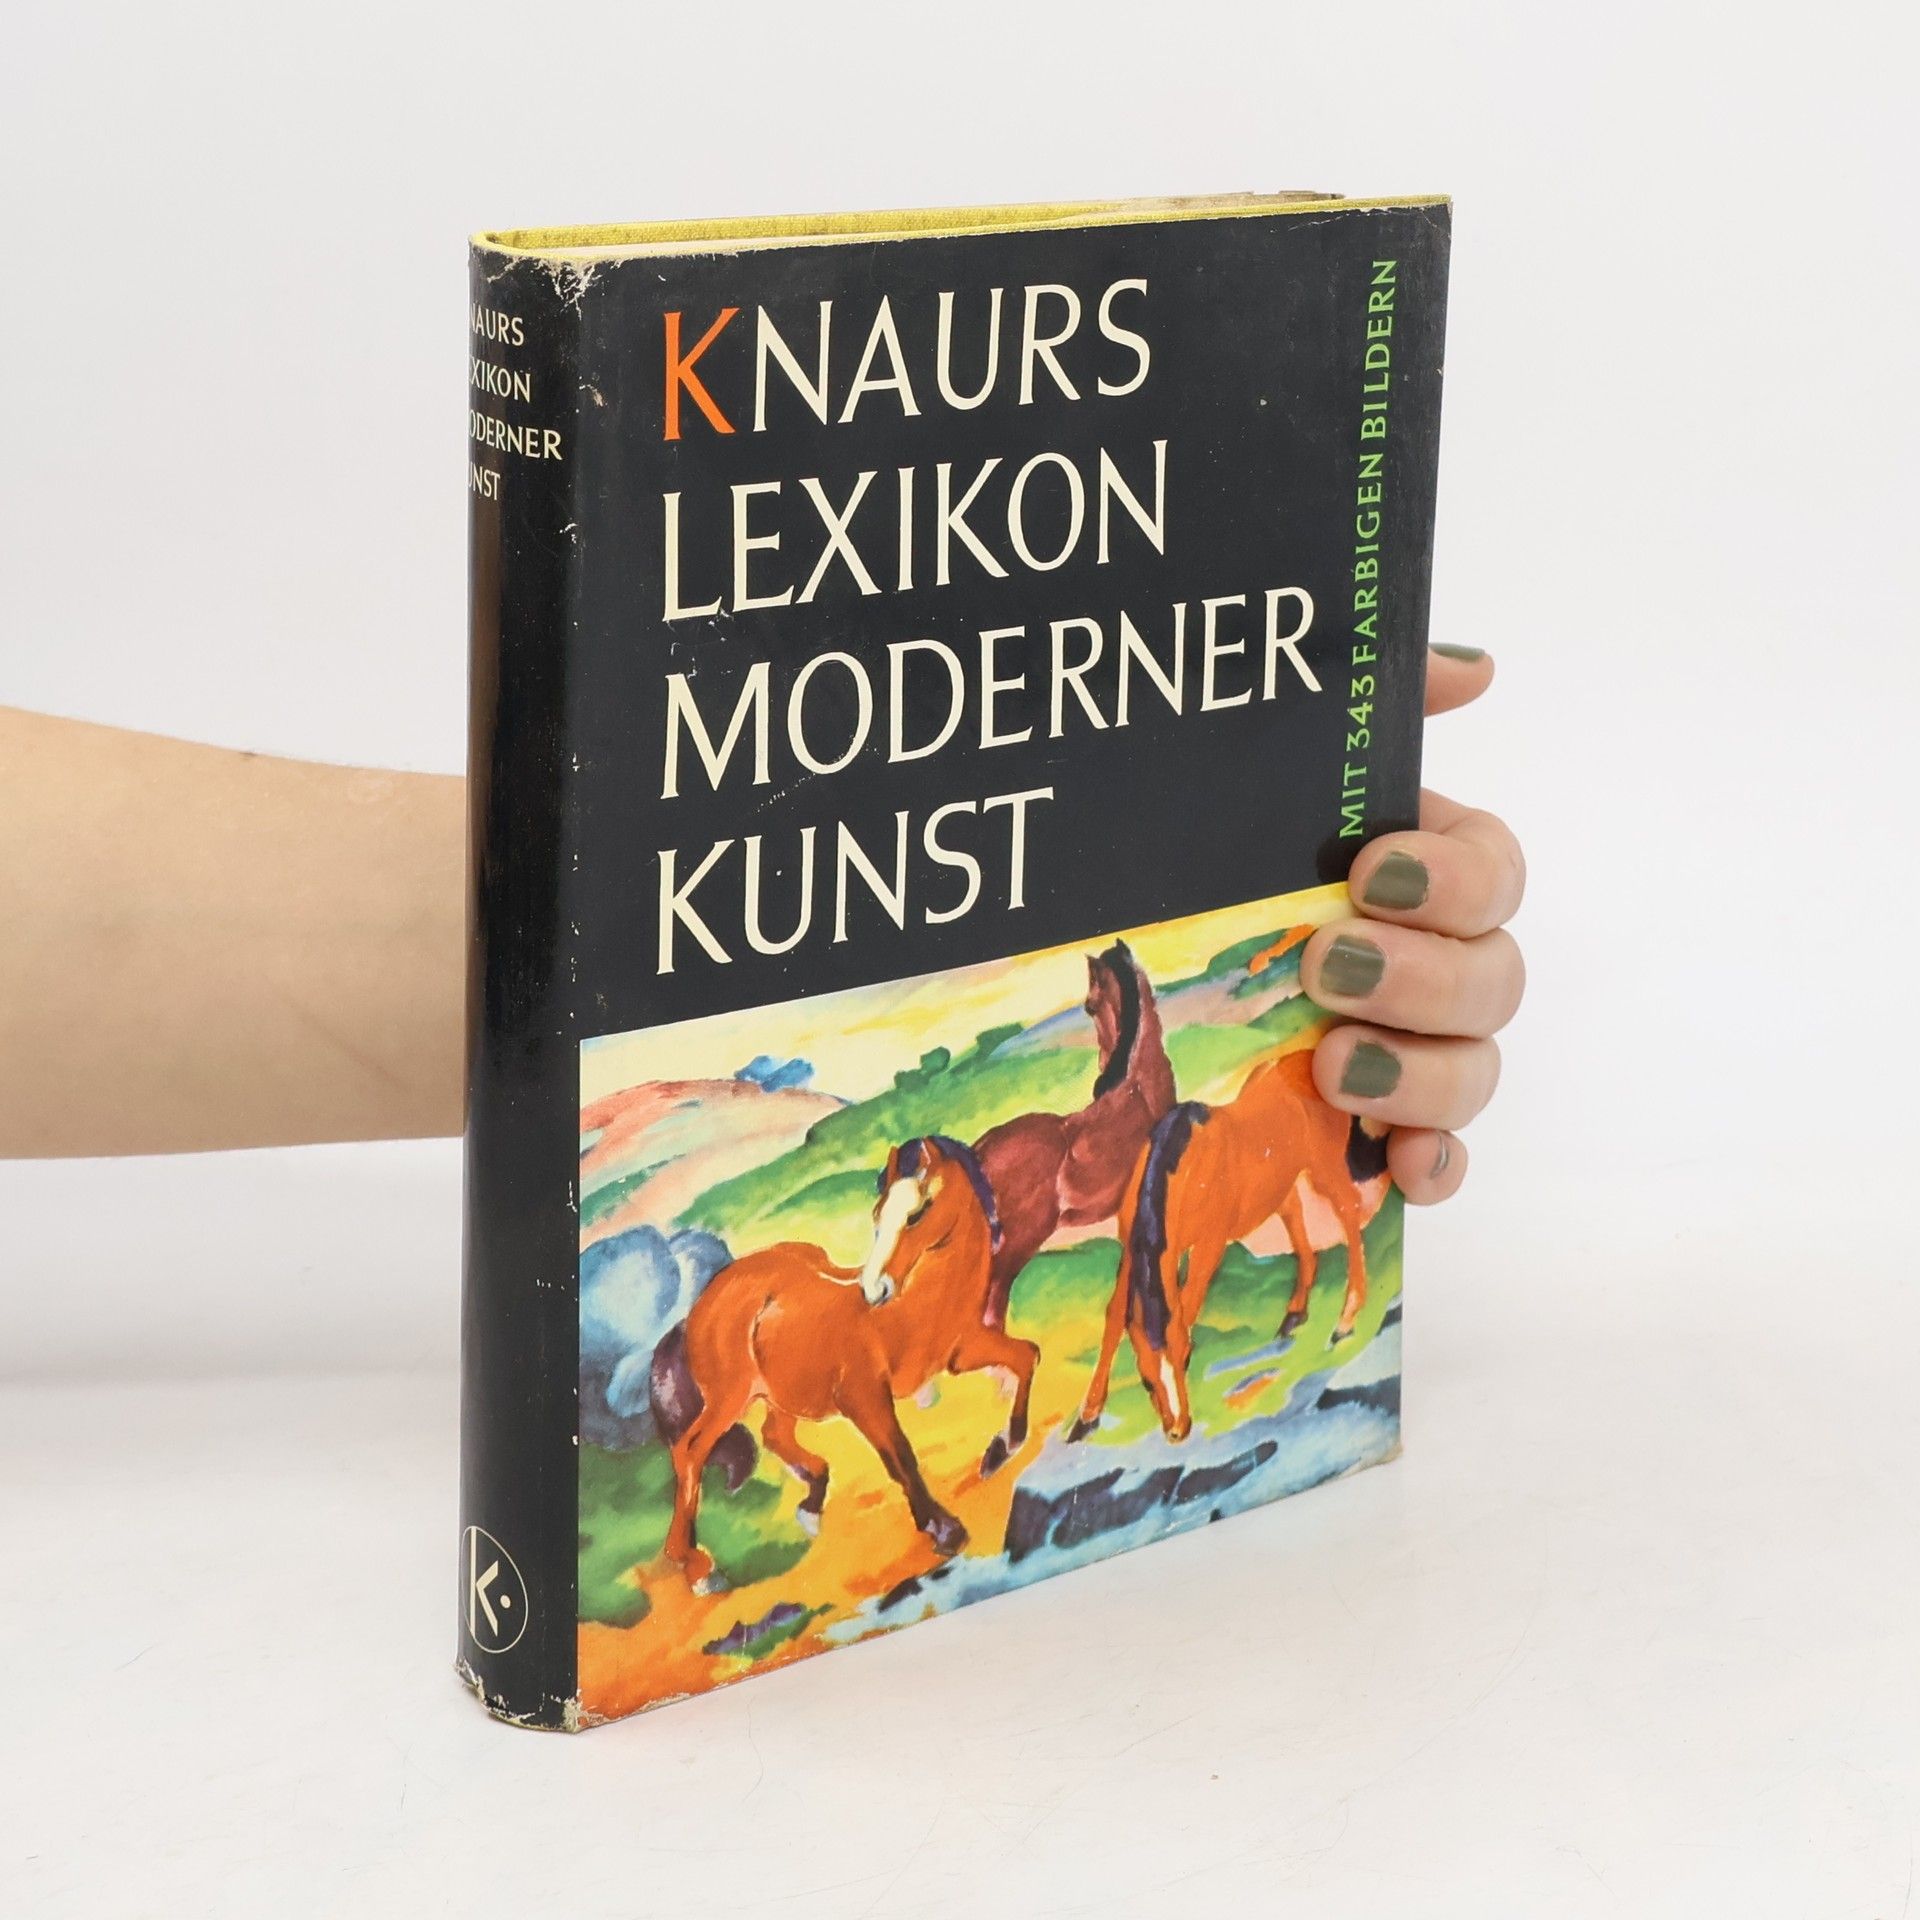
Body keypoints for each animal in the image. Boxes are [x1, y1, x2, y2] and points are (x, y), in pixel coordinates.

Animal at [649, 1135, 1021, 1592]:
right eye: (878, 1216)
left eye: (917, 1213)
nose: (874, 1289)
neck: (912, 1305)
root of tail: (697, 1309)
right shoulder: (863, 1397)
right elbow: (900, 1458)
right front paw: (946, 1530)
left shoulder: (962, 1353)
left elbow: (1027, 1356)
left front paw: (1003, 1448)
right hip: (729, 1398)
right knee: (691, 1451)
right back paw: (698, 1567)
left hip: (778, 1394)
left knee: (773, 1435)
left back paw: (811, 1501)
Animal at [1067, 1047, 1389, 1445]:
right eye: (1146, 1380)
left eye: (1187, 1359)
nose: (1178, 1431)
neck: (1182, 1166)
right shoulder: (1134, 1249)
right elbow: (1115, 1317)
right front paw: (1087, 1415)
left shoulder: (1208, 1246)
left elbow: (1187, 1308)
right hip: (1286, 1178)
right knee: (1297, 1220)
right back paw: (1294, 1314)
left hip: (1325, 1168)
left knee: (1349, 1216)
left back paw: (1346, 1319)